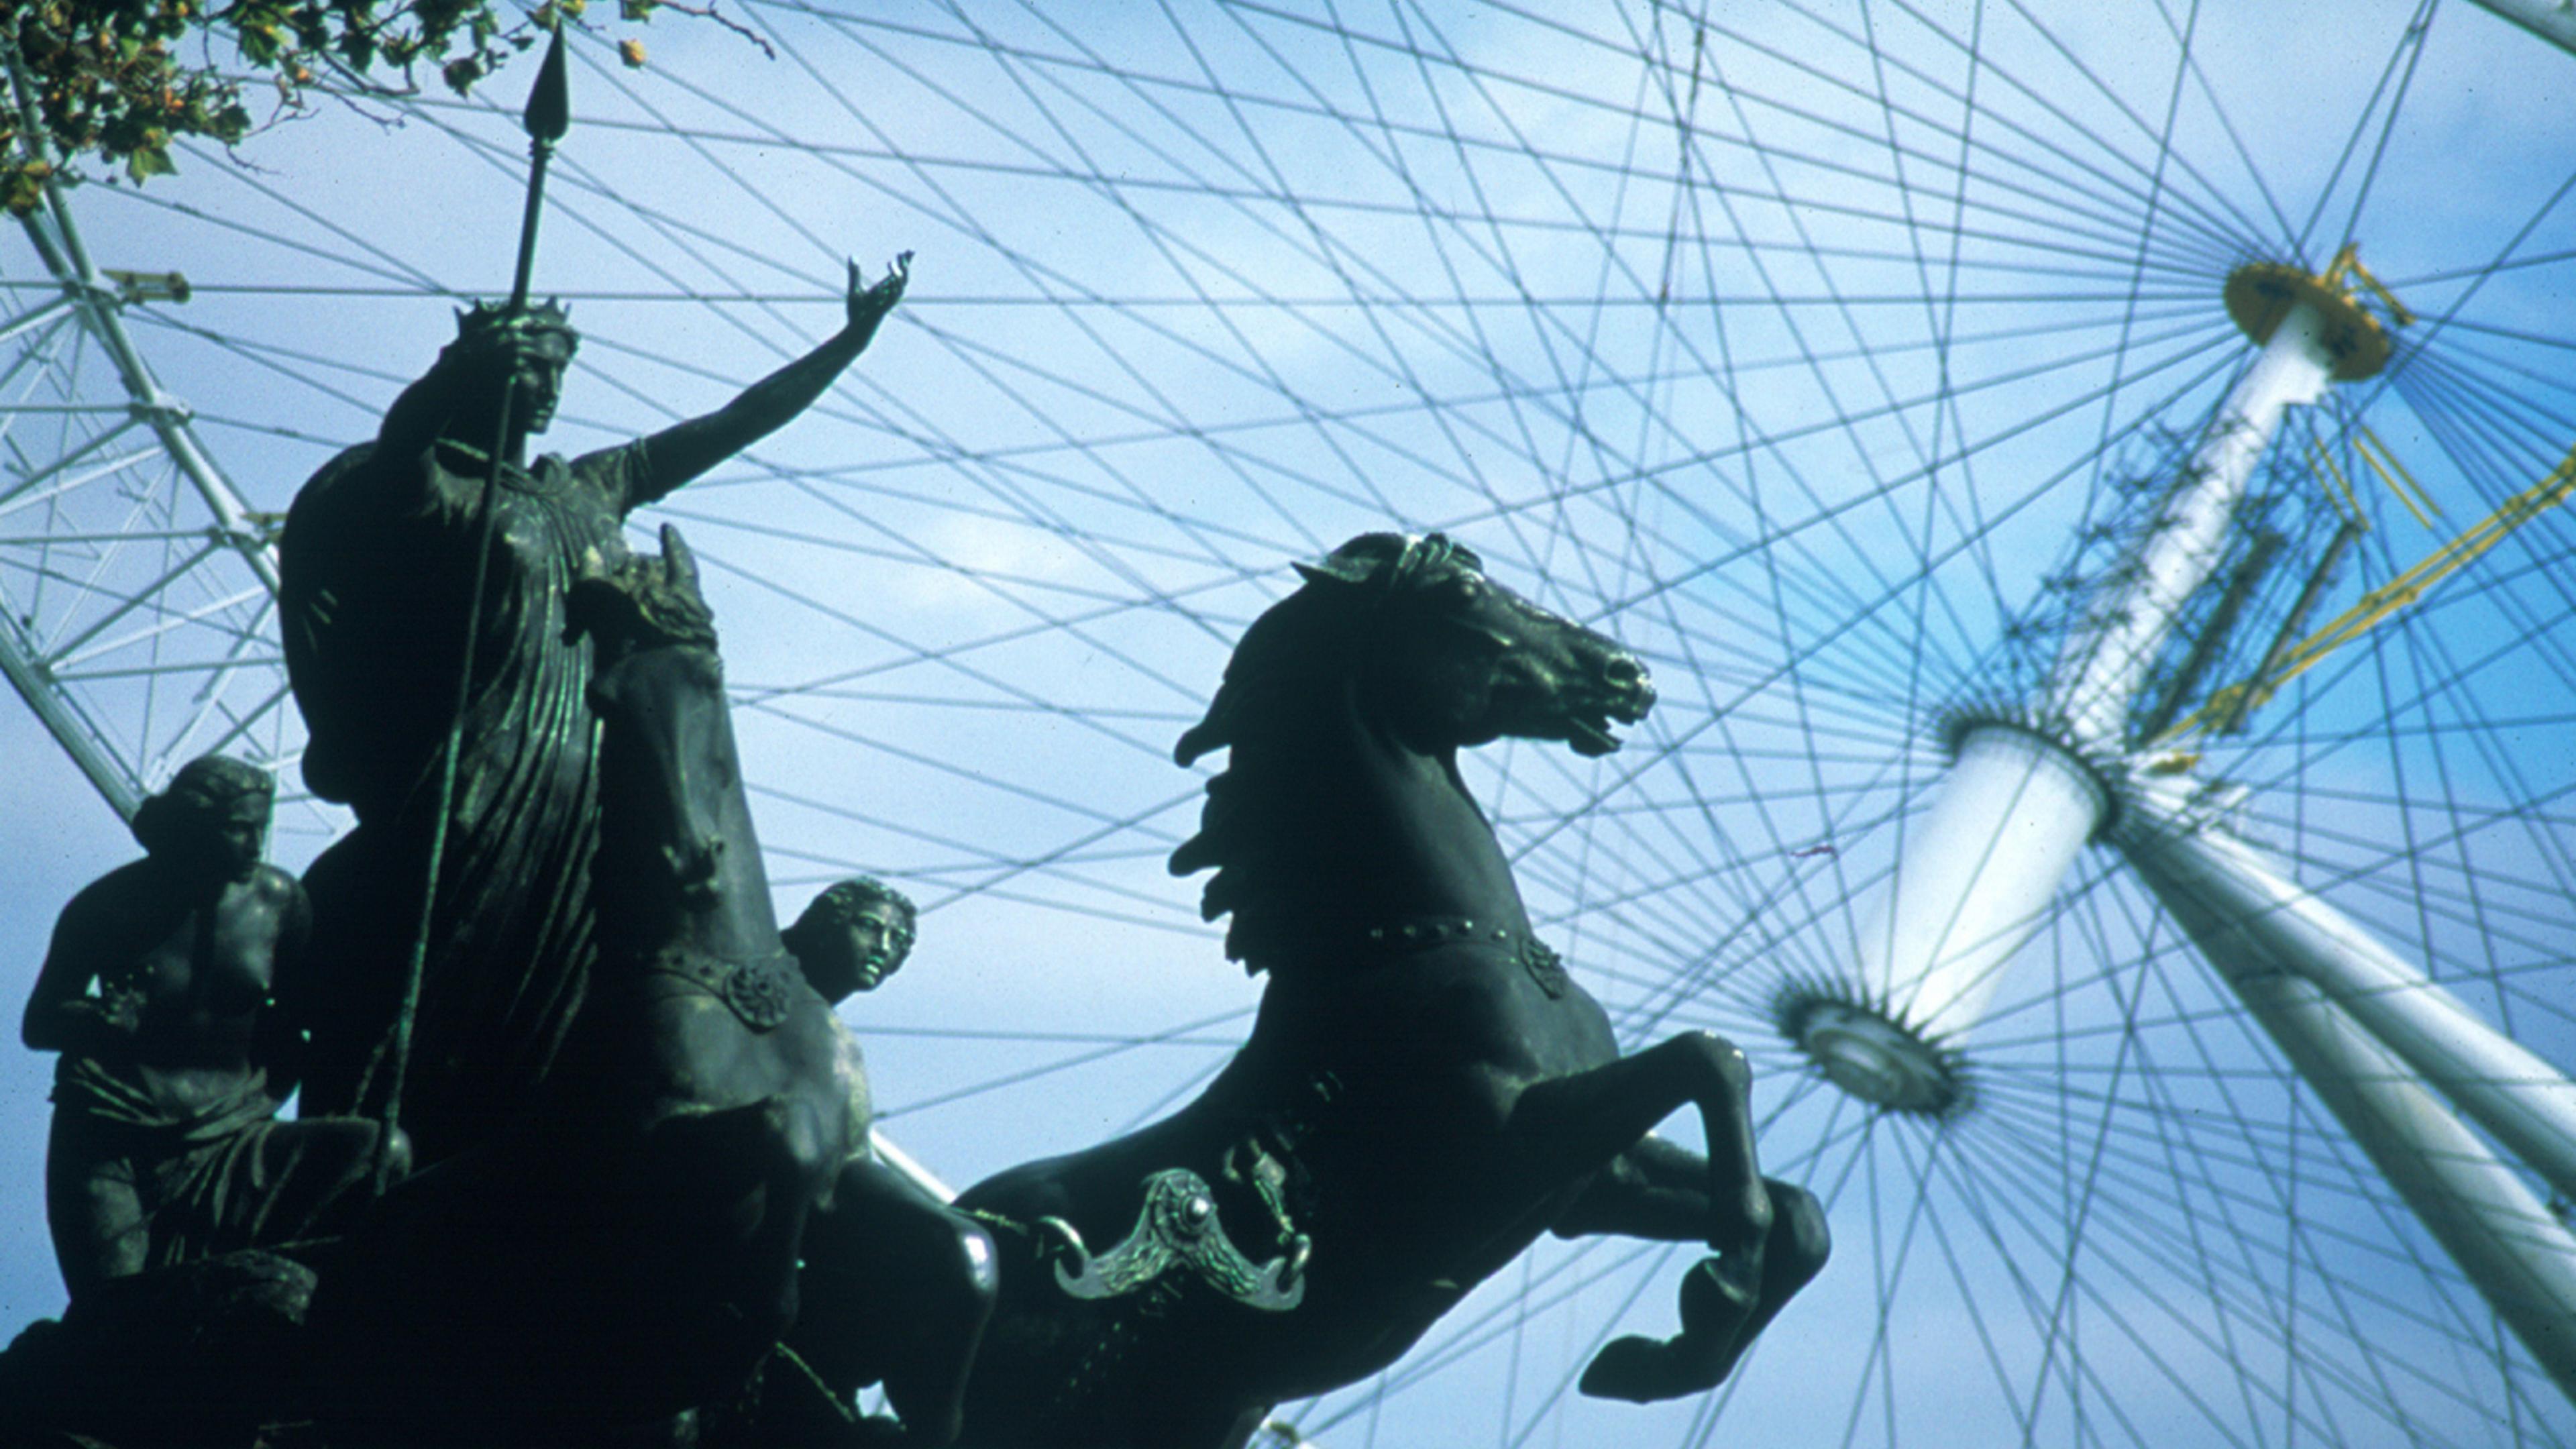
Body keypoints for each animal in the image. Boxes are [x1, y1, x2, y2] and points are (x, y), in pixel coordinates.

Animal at [953, 533, 1834, 1444]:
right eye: (1460, 594)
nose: (1630, 673)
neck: (1426, 943)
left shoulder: (1588, 1184)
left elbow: (1800, 1211)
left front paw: (1660, 1360)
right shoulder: (1512, 1143)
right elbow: (1710, 1061)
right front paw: (1714, 1297)